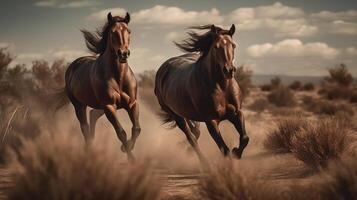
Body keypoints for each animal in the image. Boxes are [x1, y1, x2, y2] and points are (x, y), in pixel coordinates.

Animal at [56, 12, 140, 160]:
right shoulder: (109, 106)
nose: (123, 53)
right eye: (112, 32)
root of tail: (73, 66)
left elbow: (136, 129)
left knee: (93, 115)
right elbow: (121, 132)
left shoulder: (132, 104)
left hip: (99, 106)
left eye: (129, 31)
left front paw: (127, 148)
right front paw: (130, 157)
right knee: (85, 127)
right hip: (80, 105)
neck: (118, 77)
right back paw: (89, 150)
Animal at [154, 24, 249, 162]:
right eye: (216, 47)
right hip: (177, 116)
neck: (222, 88)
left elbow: (245, 138)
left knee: (195, 132)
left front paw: (236, 152)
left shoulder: (237, 113)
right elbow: (224, 150)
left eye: (234, 45)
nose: (229, 70)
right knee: (191, 138)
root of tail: (163, 68)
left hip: (188, 113)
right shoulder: (211, 121)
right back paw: (203, 162)